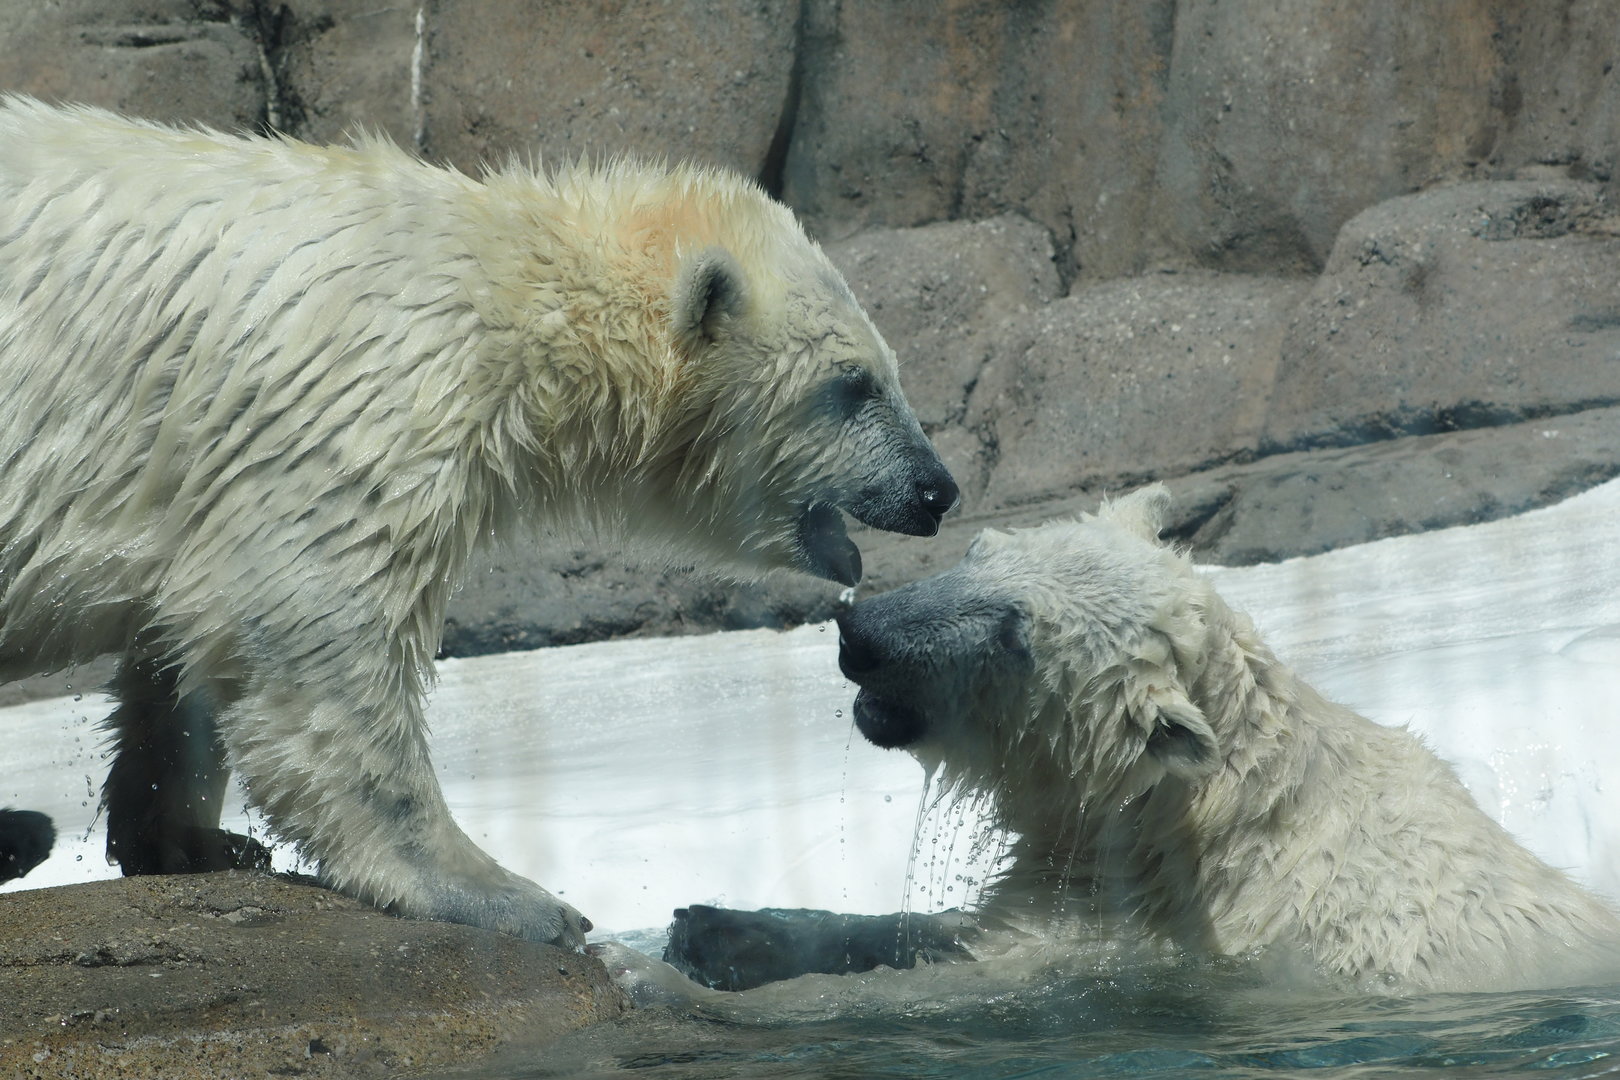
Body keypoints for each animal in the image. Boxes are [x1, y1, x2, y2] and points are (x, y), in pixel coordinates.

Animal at [0, 96, 957, 947]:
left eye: (891, 371)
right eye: (853, 383)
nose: (937, 489)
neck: (520, 286)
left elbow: (185, 637)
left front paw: (193, 838)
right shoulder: (368, 399)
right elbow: (310, 623)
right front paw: (510, 896)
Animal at [661, 487, 1620, 994]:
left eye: (1015, 633)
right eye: (978, 555)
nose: (859, 634)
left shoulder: (1121, 937)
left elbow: (954, 977)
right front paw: (715, 928)